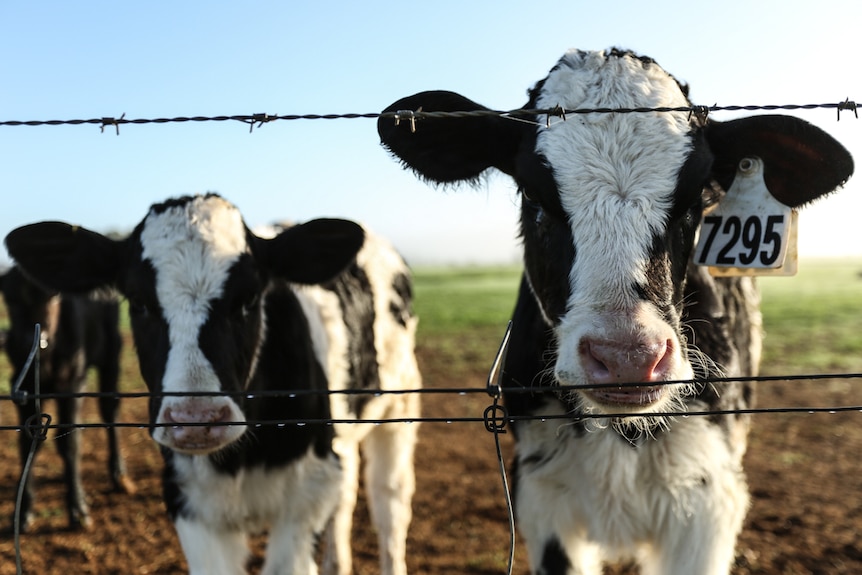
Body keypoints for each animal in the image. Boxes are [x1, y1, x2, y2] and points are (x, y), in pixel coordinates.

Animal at [0, 266, 135, 532]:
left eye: (51, 297)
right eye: (9, 299)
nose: (24, 342)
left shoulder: (73, 385)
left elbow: (70, 444)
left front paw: (78, 508)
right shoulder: (23, 389)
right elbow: (27, 444)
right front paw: (24, 511)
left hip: (112, 353)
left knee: (110, 410)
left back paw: (119, 474)